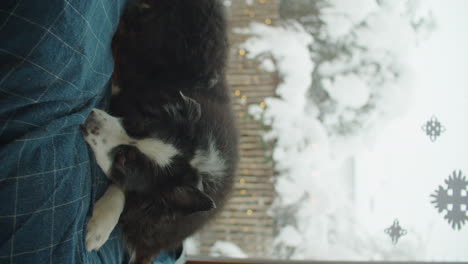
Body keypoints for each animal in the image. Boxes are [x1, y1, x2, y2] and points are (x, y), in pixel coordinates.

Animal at [80, 1, 238, 262]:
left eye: (125, 161)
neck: (200, 160)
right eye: (135, 123)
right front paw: (100, 224)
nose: (91, 121)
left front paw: (99, 228)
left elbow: (125, 188)